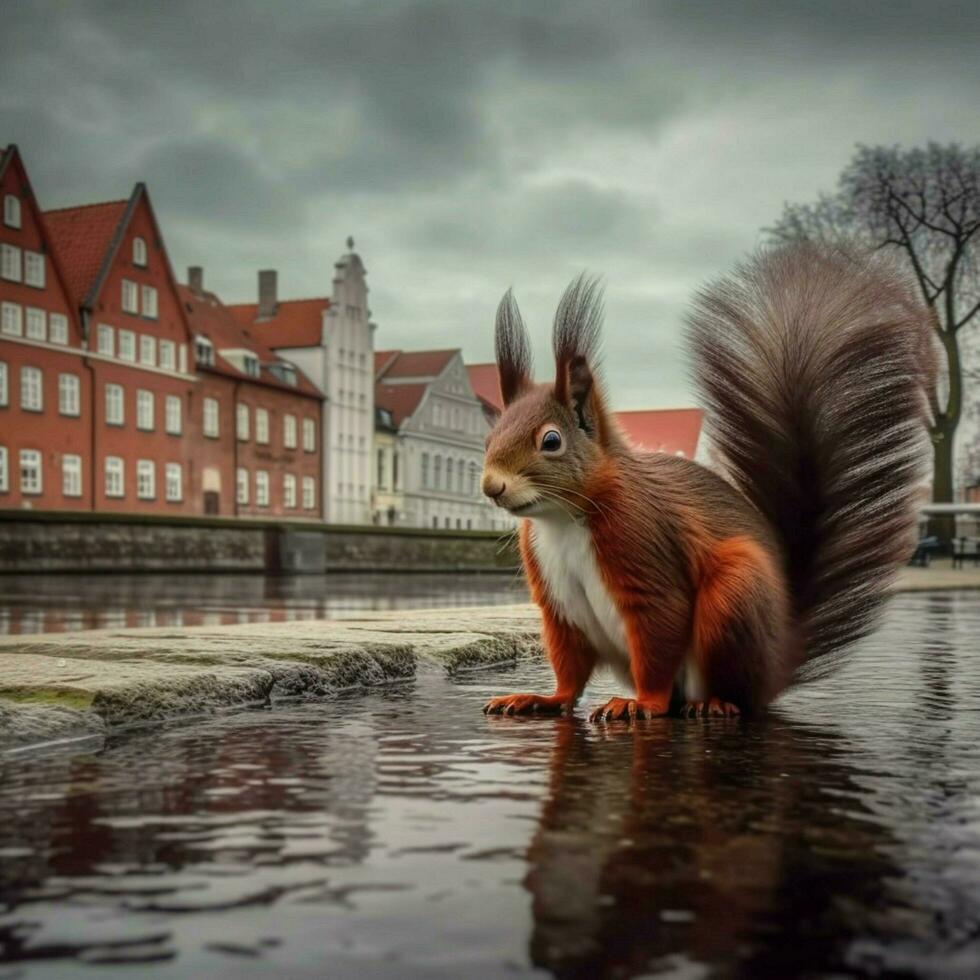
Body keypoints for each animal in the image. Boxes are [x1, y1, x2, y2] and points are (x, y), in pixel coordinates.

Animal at [482, 245, 936, 720]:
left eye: (551, 440)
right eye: (489, 437)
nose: (492, 487)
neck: (564, 519)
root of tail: (780, 660)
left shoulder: (646, 556)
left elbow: (659, 640)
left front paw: (642, 703)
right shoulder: (557, 610)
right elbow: (569, 671)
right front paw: (542, 698)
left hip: (734, 594)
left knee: (729, 692)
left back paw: (713, 703)